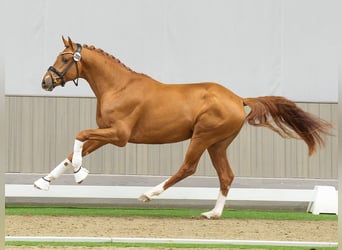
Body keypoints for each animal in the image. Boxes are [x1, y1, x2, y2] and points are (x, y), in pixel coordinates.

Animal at [34, 37, 328, 219]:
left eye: (64, 59)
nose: (45, 81)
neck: (118, 86)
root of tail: (238, 98)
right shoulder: (106, 133)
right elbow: (73, 151)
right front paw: (43, 182)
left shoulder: (119, 136)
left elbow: (79, 136)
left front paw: (80, 175)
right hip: (218, 144)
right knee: (226, 176)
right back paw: (213, 214)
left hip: (202, 137)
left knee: (188, 168)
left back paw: (148, 195)